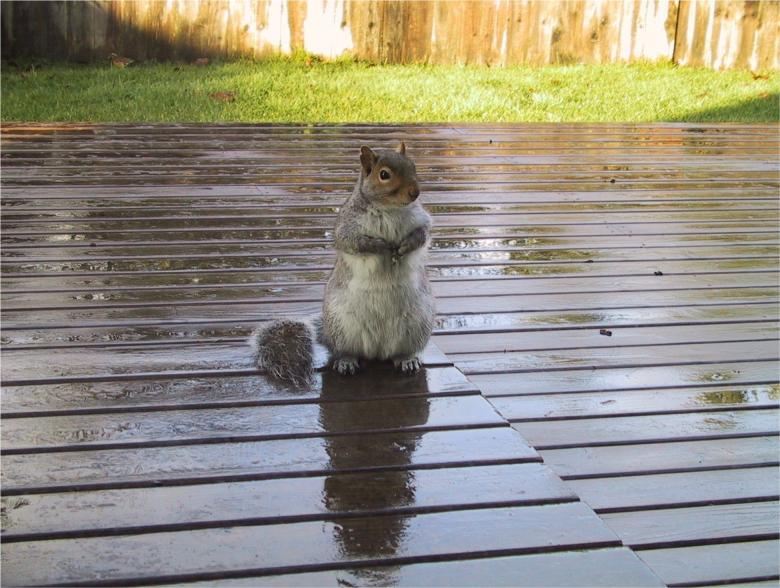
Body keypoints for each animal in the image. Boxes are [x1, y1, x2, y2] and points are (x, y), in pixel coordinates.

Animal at [250, 141, 436, 385]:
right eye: (384, 174)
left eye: (413, 166)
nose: (415, 192)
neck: (390, 208)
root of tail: (377, 352)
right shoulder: (347, 226)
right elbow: (353, 241)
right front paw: (380, 246)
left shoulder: (420, 219)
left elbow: (422, 234)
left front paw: (405, 246)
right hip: (342, 328)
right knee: (345, 351)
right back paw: (346, 361)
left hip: (417, 325)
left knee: (398, 353)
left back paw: (406, 359)